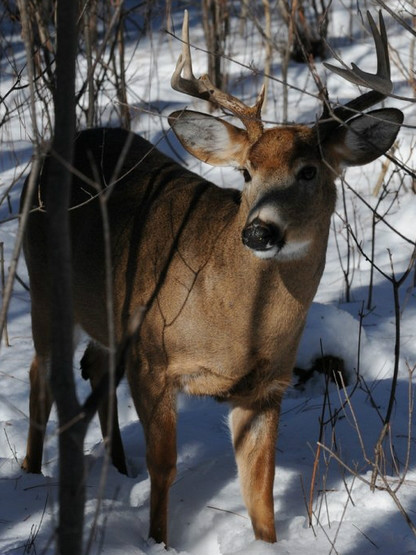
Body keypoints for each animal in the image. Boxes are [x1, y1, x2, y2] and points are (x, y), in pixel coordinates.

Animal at [22, 11, 404, 548]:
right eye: (245, 172)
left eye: (309, 171)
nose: (259, 231)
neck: (235, 327)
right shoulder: (153, 359)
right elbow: (164, 466)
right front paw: (158, 541)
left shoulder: (266, 386)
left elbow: (259, 488)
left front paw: (268, 545)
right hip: (43, 283)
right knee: (40, 371)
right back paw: (32, 472)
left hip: (105, 313)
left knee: (93, 366)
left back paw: (117, 468)